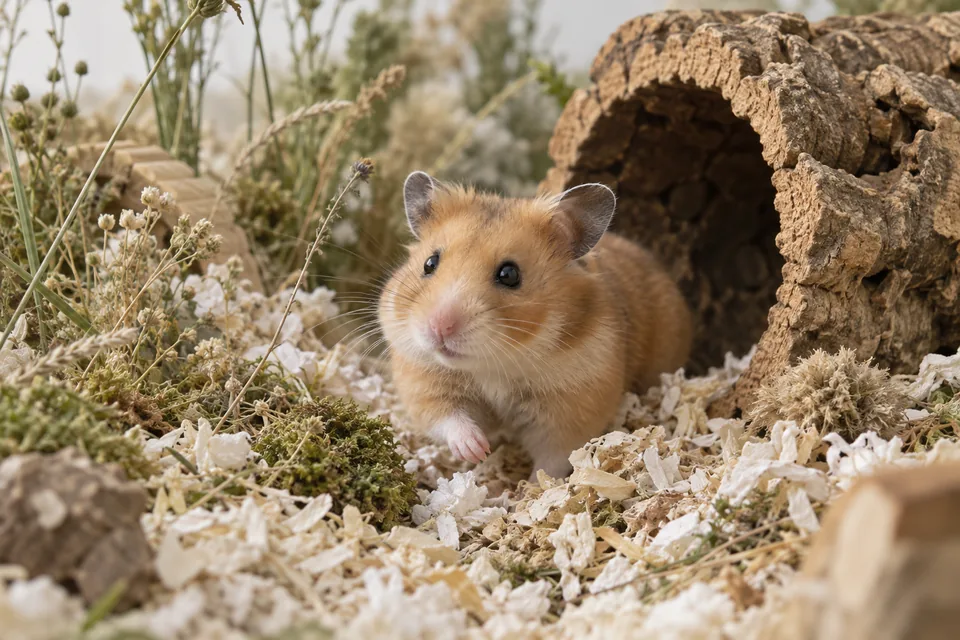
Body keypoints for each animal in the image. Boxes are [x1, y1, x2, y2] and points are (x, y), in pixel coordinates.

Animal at [378, 171, 693, 481]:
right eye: (429, 263)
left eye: (509, 274)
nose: (439, 327)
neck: (494, 364)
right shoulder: (423, 382)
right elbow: (448, 419)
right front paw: (477, 450)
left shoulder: (573, 410)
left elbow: (552, 460)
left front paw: (529, 488)